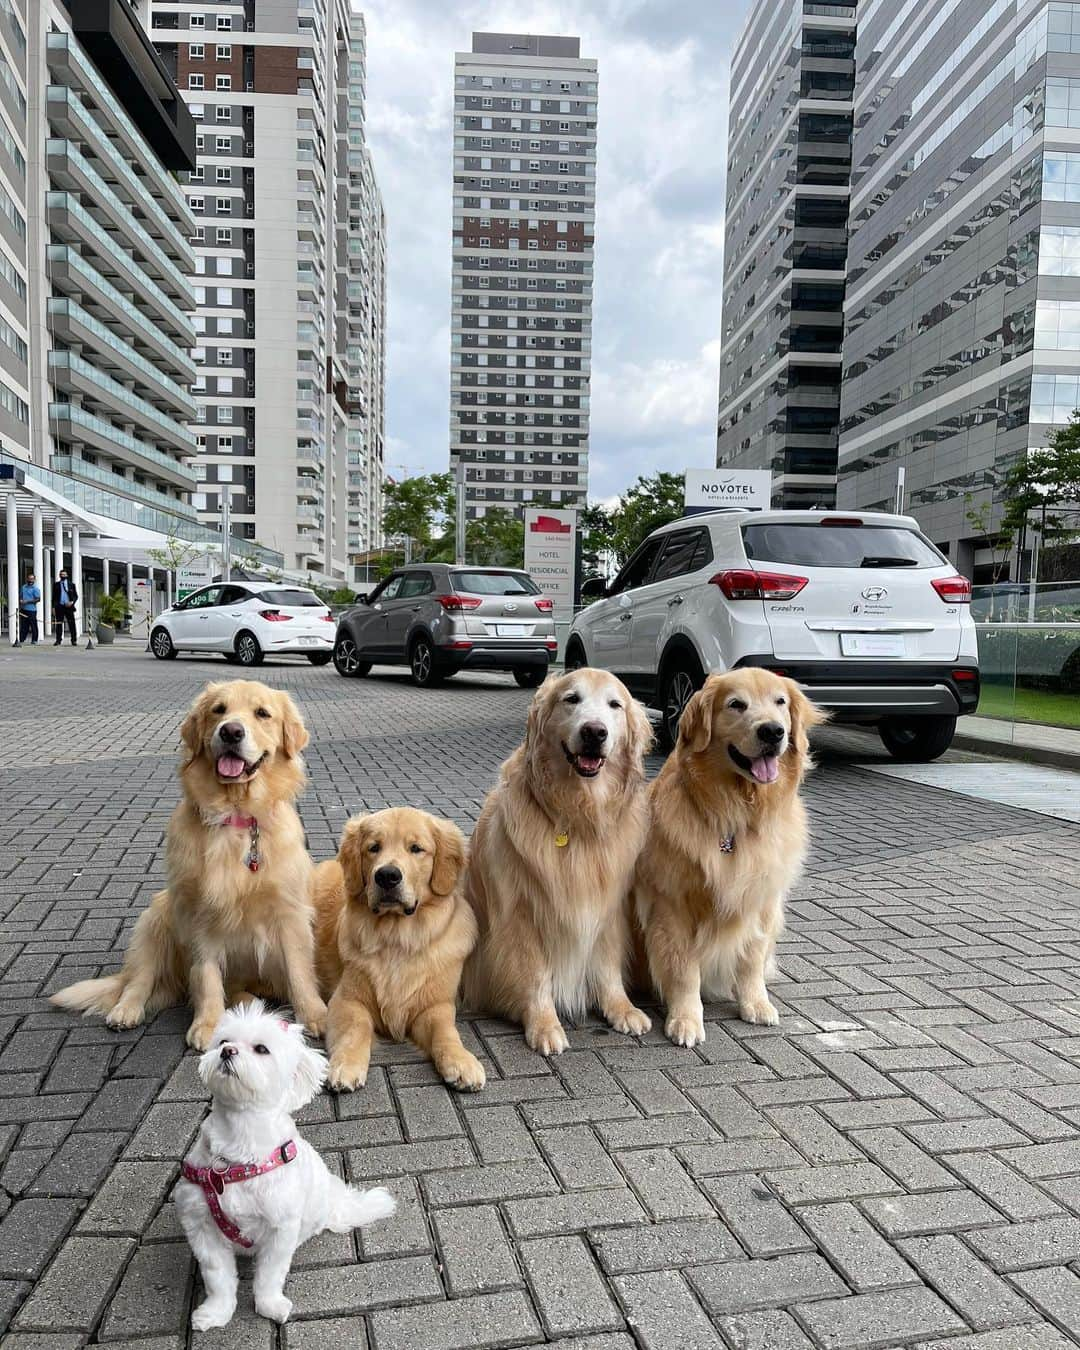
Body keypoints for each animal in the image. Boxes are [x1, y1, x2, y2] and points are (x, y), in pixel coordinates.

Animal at [175, 1004, 394, 1328]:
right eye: (223, 1041)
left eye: (261, 1049)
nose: (227, 1052)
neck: (239, 1150)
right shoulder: (202, 1226)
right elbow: (218, 1277)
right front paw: (216, 1312)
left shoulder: (281, 1228)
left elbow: (269, 1274)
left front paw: (270, 1305)